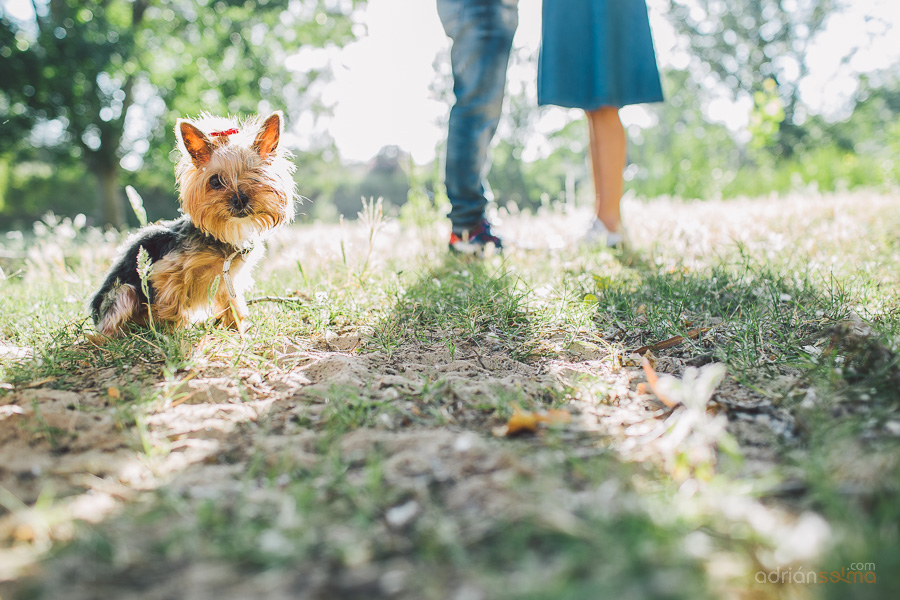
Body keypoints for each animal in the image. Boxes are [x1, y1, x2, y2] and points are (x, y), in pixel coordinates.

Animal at [89, 112, 292, 338]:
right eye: (215, 181)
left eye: (256, 175)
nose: (239, 200)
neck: (224, 233)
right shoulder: (166, 273)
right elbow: (171, 307)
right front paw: (174, 336)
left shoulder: (227, 280)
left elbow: (233, 305)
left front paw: (237, 331)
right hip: (124, 293)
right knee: (110, 325)